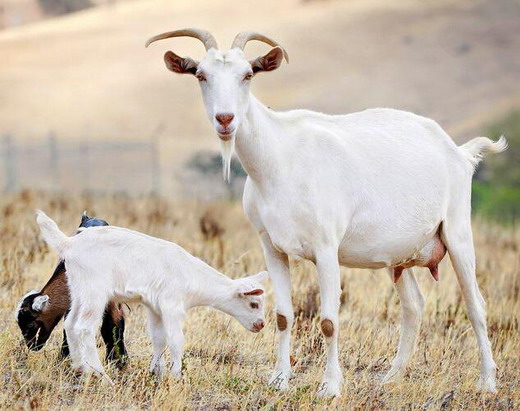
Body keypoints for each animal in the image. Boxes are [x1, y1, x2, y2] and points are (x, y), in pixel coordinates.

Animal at [146, 28, 508, 396]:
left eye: (247, 74)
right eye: (201, 76)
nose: (225, 119)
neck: (280, 159)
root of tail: (460, 152)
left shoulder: (326, 248)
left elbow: (329, 320)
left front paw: (330, 387)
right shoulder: (271, 247)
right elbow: (283, 316)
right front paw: (279, 379)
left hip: (457, 230)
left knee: (475, 305)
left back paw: (487, 381)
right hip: (398, 256)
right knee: (414, 306)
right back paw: (391, 378)